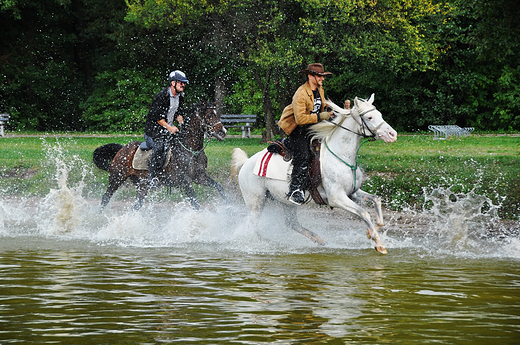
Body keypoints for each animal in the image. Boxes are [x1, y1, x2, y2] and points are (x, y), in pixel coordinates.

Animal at [93, 102, 228, 210]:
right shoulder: (185, 181)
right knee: (106, 197)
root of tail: (122, 149)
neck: (191, 149)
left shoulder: (200, 177)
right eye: (209, 115)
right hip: (117, 177)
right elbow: (195, 204)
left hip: (142, 185)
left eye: (218, 115)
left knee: (136, 205)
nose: (223, 132)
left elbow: (219, 187)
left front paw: (229, 209)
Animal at [232, 94, 398, 253]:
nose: (393, 134)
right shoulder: (336, 198)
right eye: (369, 117)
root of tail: (246, 163)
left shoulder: (352, 193)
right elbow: (364, 213)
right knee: (251, 226)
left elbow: (376, 200)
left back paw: (320, 240)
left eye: (380, 114)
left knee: (292, 224)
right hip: (256, 202)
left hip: (285, 201)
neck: (340, 155)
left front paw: (373, 231)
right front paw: (379, 244)